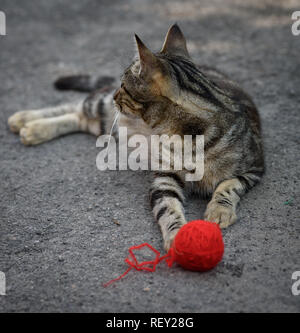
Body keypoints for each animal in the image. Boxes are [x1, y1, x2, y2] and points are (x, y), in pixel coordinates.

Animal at [8, 24, 264, 250]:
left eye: (124, 85)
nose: (115, 93)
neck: (187, 139)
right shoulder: (165, 178)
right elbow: (168, 209)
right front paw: (177, 236)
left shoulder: (255, 167)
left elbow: (228, 186)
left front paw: (219, 210)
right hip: (104, 110)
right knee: (78, 105)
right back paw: (26, 120)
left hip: (107, 124)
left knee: (79, 118)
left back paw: (33, 128)